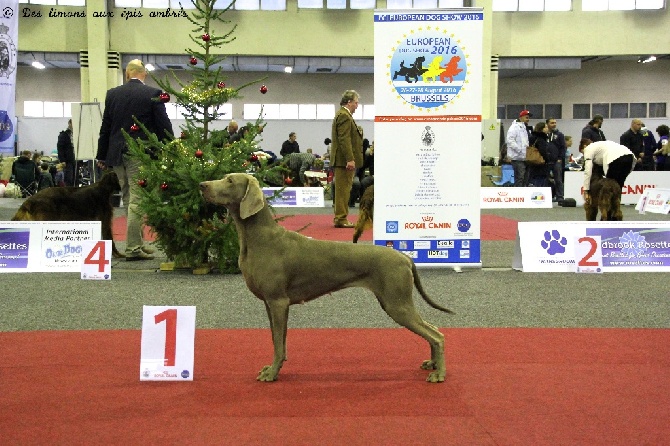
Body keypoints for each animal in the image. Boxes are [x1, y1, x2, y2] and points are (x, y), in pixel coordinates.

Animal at [197, 174, 454, 384]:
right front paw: (273, 368)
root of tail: (404, 256)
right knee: (433, 329)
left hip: (396, 303)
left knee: (437, 335)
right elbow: (276, 339)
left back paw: (439, 374)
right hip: (395, 301)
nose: (202, 185)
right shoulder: (269, 303)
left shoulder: (278, 301)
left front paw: (272, 373)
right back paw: (432, 364)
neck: (258, 238)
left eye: (230, 180)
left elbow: (278, 343)